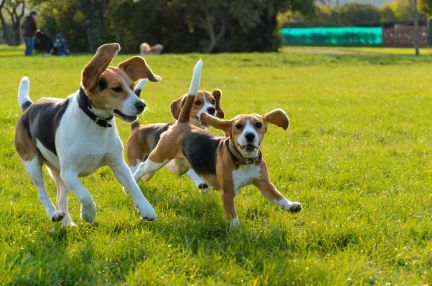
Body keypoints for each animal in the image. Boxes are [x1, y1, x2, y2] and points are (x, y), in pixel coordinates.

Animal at [14, 43, 162, 226]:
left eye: (132, 87)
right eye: (116, 89)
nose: (141, 105)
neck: (96, 122)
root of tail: (29, 107)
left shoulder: (118, 164)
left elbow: (134, 186)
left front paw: (146, 209)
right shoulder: (69, 173)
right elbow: (86, 195)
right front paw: (88, 214)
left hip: (58, 172)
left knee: (60, 198)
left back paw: (67, 223)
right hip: (33, 163)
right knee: (42, 193)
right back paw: (54, 214)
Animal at [133, 59, 302, 226]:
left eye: (258, 125)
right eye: (238, 126)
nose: (249, 136)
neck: (244, 161)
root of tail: (183, 123)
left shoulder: (264, 183)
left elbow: (277, 196)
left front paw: (291, 206)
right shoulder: (227, 192)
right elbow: (232, 216)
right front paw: (237, 231)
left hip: (180, 164)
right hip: (159, 157)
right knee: (142, 167)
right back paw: (134, 181)